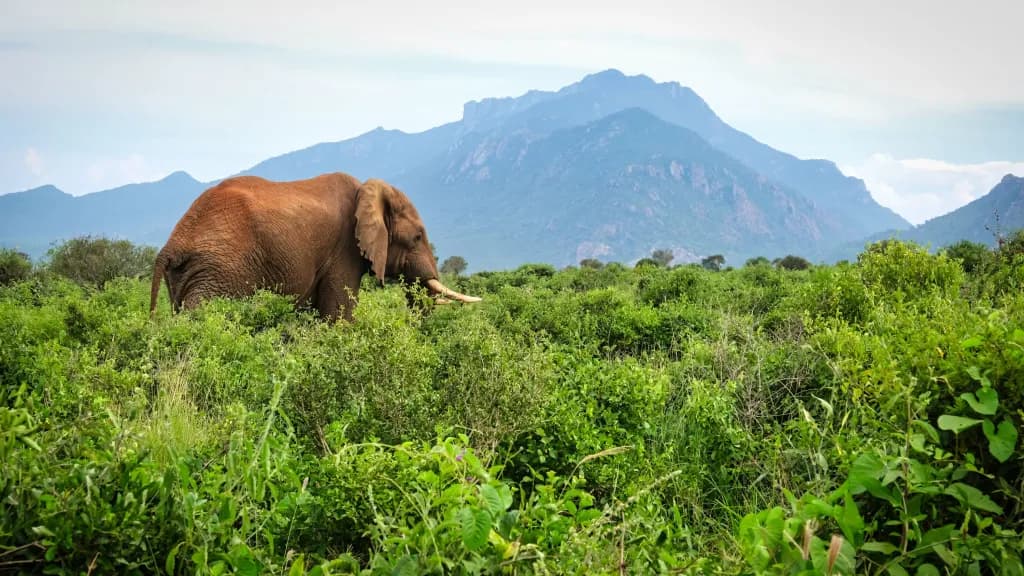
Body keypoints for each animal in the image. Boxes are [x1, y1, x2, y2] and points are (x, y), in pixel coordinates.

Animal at [149, 172, 480, 321]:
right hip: (219, 272)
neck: (366, 190)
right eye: (418, 237)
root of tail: (172, 244)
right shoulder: (344, 250)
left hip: (188, 276)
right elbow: (339, 315)